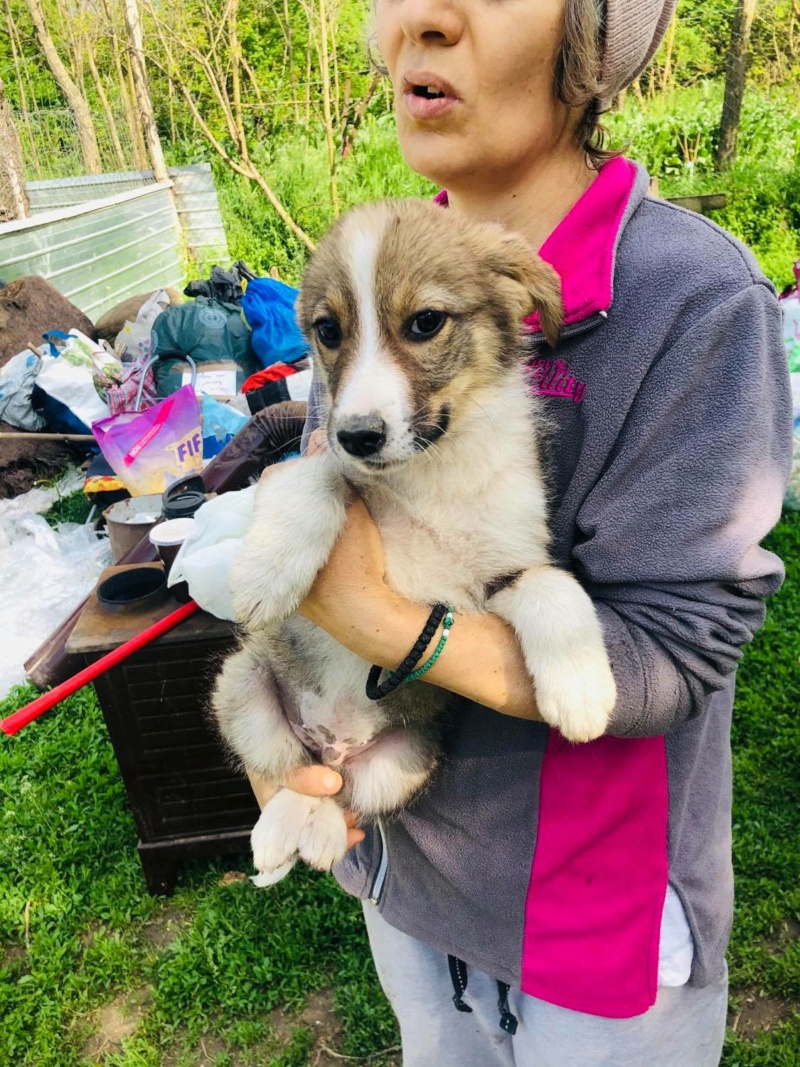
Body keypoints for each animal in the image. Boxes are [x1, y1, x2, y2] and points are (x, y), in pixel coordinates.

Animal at [210, 200, 618, 883]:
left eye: (425, 322)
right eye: (327, 330)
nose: (360, 435)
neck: (431, 472)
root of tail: (335, 742)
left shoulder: (507, 564)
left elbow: (554, 586)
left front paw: (582, 689)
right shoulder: (322, 459)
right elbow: (317, 476)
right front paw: (267, 575)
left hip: (403, 764)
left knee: (339, 791)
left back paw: (315, 830)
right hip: (241, 685)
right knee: (296, 773)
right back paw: (280, 832)